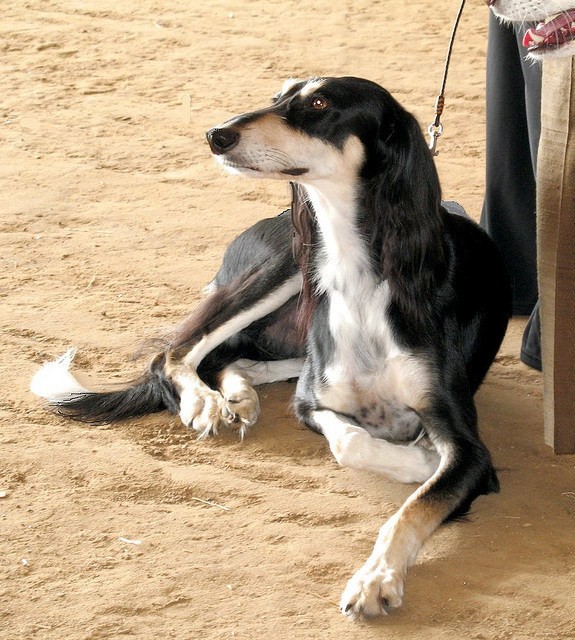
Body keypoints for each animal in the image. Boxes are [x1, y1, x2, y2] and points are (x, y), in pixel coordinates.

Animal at [31, 75, 510, 620]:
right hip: (285, 266)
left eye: (320, 103)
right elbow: (350, 443)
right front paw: (419, 468)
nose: (216, 135)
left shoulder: (467, 449)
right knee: (178, 351)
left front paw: (377, 576)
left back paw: (238, 396)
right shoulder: (313, 403)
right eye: (280, 94)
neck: (364, 275)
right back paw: (206, 401)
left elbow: (409, 507)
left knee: (239, 359)